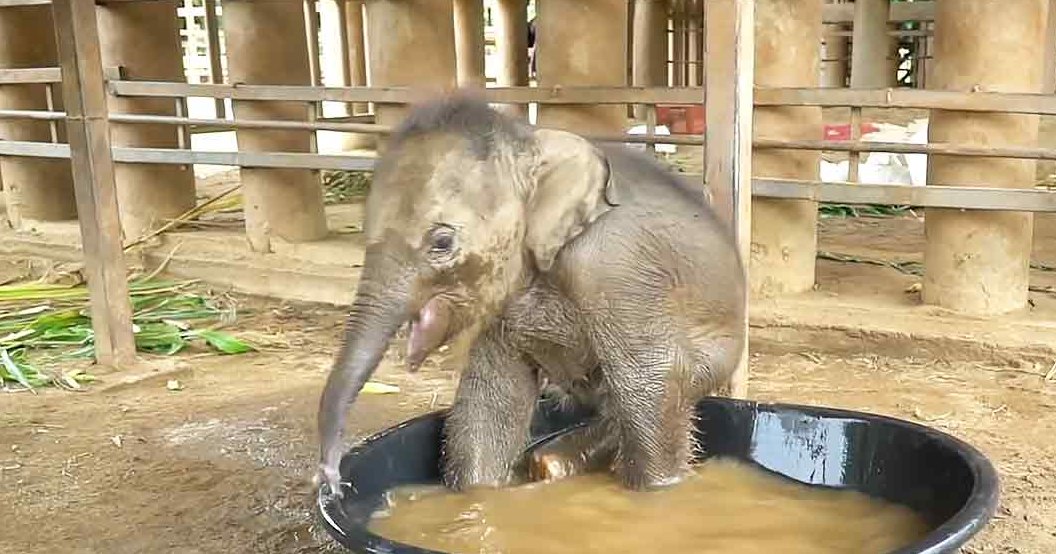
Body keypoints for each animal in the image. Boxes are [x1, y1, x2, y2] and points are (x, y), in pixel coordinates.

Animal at [316, 94, 746, 499]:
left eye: (441, 242)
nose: (333, 481)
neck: (534, 143)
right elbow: (494, 392)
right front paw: (478, 495)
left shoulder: (618, 265)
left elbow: (652, 380)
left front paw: (658, 494)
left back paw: (552, 463)